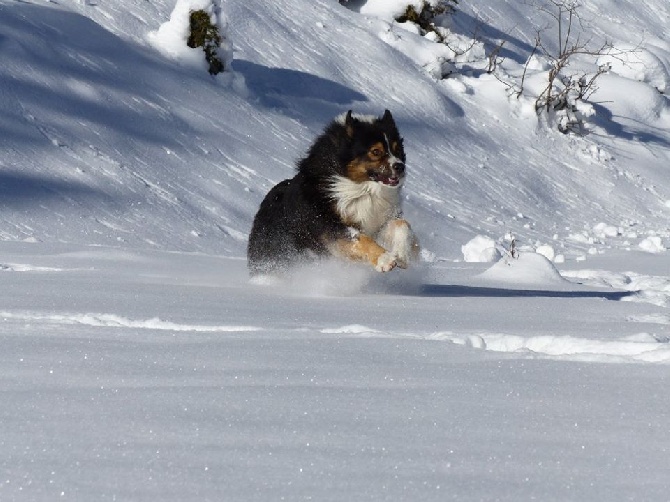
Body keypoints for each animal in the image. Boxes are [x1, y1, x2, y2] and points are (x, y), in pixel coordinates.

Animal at [248, 110, 420, 276]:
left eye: (397, 149)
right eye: (376, 151)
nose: (400, 166)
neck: (360, 188)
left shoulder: (378, 222)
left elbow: (402, 224)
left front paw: (403, 255)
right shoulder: (328, 227)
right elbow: (359, 238)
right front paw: (384, 259)